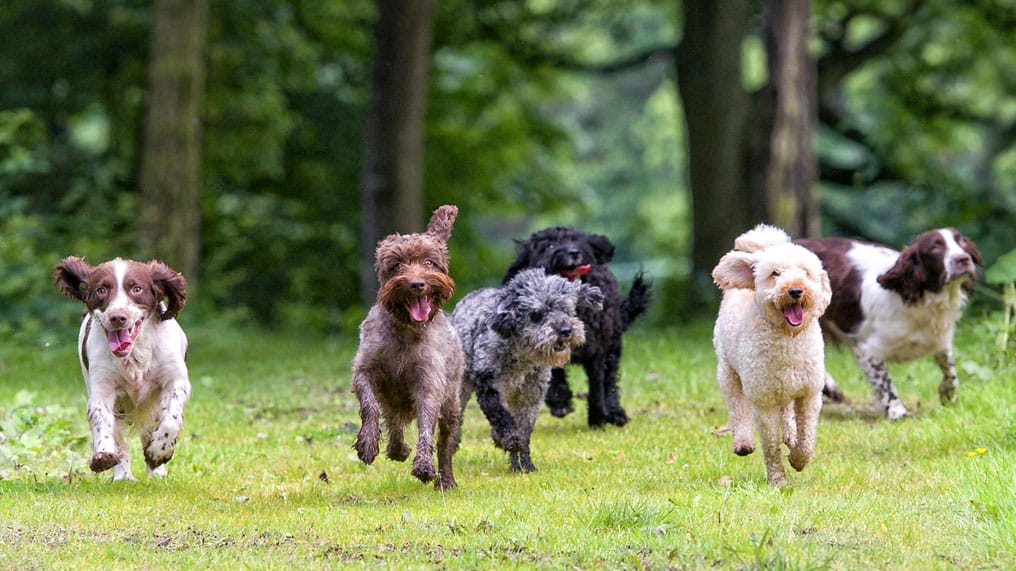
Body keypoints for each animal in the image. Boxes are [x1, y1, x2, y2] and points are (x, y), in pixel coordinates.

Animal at [351, 202, 465, 487]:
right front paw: (367, 444)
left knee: (445, 443)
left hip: (452, 404)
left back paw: (446, 480)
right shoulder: (365, 371)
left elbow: (426, 424)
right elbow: (369, 405)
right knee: (393, 421)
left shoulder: (429, 382)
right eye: (396, 265)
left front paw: (424, 465)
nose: (417, 284)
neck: (405, 330)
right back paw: (397, 449)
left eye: (429, 262)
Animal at [453, 266, 601, 471]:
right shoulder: (488, 384)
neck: (520, 356)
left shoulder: (531, 395)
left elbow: (525, 429)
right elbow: (501, 415)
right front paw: (511, 439)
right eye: (537, 314)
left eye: (566, 309)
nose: (566, 330)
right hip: (461, 385)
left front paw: (523, 464)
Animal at [499, 224, 650, 424]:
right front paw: (560, 402)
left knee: (609, 382)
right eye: (548, 245)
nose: (574, 252)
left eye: (577, 241)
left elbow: (597, 385)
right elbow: (555, 377)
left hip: (613, 346)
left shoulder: (597, 351)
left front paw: (598, 416)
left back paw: (616, 412)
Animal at [711, 223, 829, 483]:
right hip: (728, 372)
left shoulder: (809, 394)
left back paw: (790, 435)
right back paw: (743, 442)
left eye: (805, 272)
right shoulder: (763, 399)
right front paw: (778, 480)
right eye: (775, 274)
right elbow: (771, 445)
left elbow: (807, 438)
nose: (795, 290)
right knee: (738, 407)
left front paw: (798, 459)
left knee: (786, 411)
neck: (788, 337)